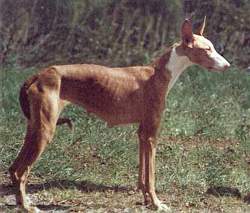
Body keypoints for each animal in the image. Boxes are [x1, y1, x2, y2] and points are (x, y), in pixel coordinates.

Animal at [8, 17, 229, 211]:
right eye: (207, 49)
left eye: (212, 47)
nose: (227, 65)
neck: (159, 74)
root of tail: (38, 74)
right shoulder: (152, 135)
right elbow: (151, 177)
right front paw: (157, 204)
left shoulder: (142, 133)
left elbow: (142, 175)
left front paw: (146, 201)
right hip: (45, 131)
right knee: (21, 172)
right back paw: (26, 206)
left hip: (34, 129)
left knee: (12, 168)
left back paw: (21, 202)